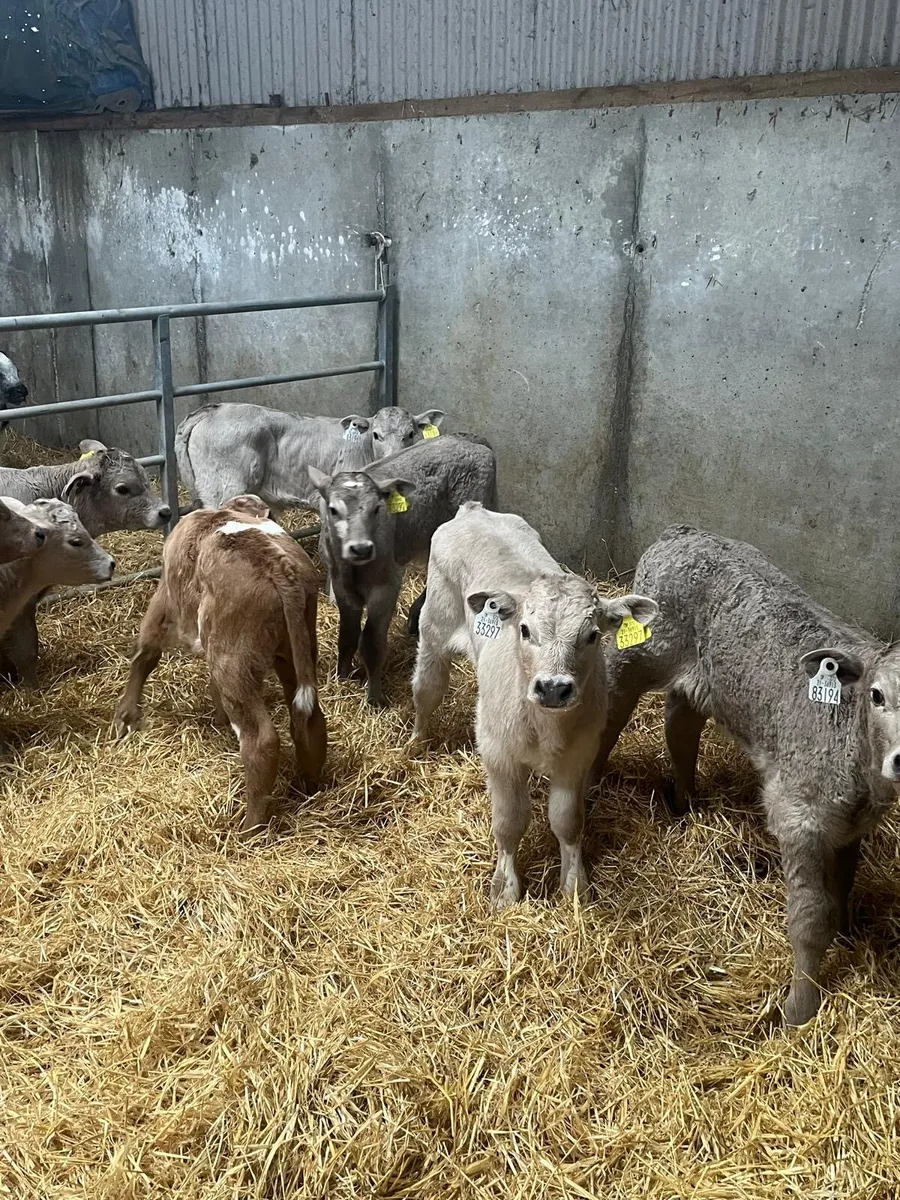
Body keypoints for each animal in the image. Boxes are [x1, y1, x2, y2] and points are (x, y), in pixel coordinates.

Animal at [113, 495, 327, 833]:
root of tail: (276, 563)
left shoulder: (164, 601)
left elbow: (145, 652)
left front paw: (126, 716)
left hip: (232, 660)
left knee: (261, 741)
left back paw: (249, 828)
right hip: (296, 648)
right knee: (309, 719)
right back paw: (309, 786)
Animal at [309, 434, 497, 707]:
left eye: (377, 509)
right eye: (333, 510)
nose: (361, 548)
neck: (355, 569)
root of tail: (471, 439)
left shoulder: (386, 585)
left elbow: (371, 642)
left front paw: (375, 698)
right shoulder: (340, 583)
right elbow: (348, 633)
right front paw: (342, 676)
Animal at [411, 502, 657, 907]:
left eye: (592, 635)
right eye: (525, 630)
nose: (553, 688)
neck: (545, 726)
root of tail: (473, 511)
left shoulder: (580, 752)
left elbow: (567, 820)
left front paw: (574, 885)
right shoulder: (497, 750)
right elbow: (509, 821)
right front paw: (504, 889)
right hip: (434, 627)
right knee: (427, 689)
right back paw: (415, 744)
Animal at [591, 524, 900, 1026]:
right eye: (877, 695)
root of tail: (681, 532)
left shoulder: (852, 823)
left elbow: (844, 886)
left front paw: (846, 935)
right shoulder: (797, 814)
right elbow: (810, 917)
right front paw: (800, 1008)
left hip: (704, 679)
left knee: (681, 723)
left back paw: (686, 803)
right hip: (644, 649)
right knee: (612, 709)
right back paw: (592, 783)